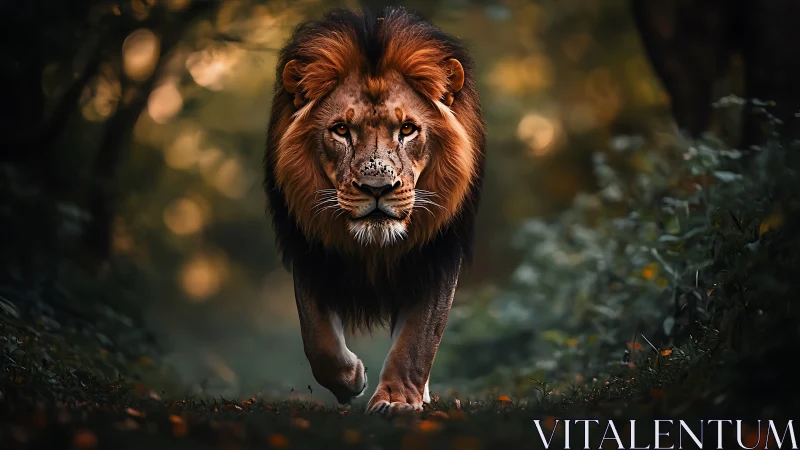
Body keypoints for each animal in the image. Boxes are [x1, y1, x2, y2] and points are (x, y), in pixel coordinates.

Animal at [263, 6, 485, 416]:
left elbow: (417, 340)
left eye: (408, 129)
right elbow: (317, 339)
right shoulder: (311, 250)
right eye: (341, 130)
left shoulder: (436, 256)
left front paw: (397, 400)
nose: (377, 188)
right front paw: (351, 379)